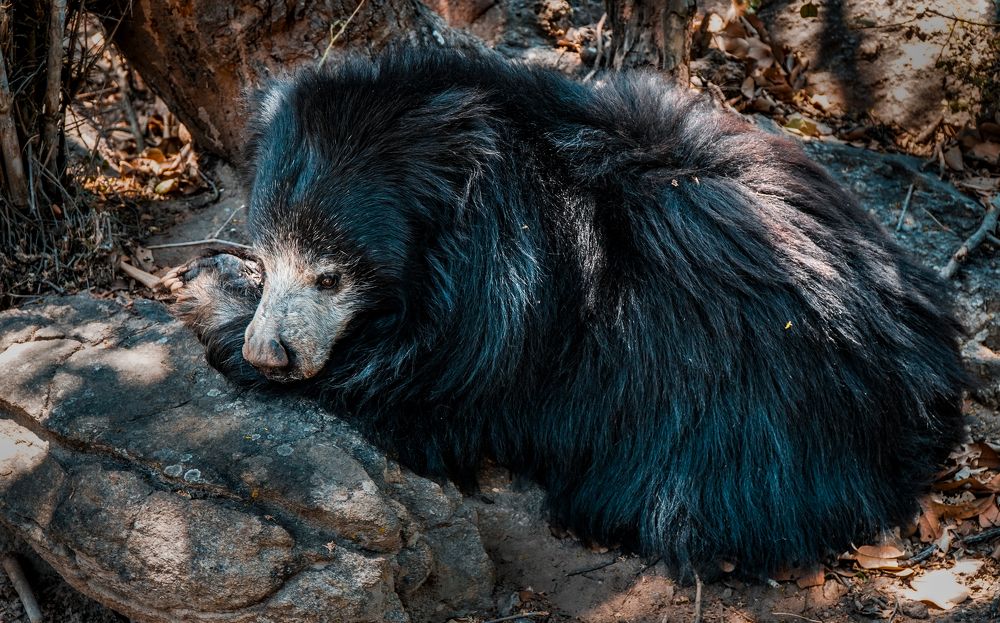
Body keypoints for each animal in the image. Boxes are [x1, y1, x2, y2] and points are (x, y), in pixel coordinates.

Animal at [163, 46, 968, 579]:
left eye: (331, 276)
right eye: (269, 253)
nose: (273, 353)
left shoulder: (515, 326)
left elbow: (419, 386)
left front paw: (213, 311)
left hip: (742, 420)